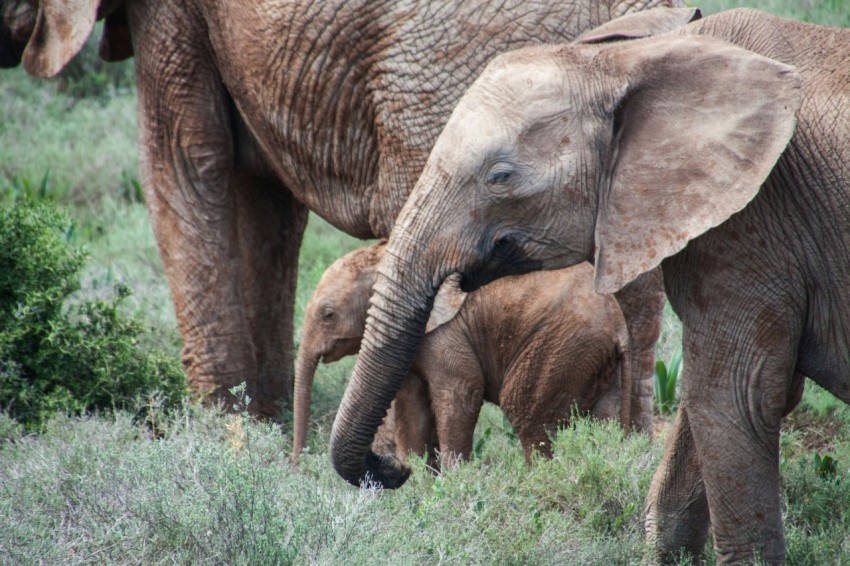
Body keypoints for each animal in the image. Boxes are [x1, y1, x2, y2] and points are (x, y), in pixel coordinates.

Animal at [292, 242, 630, 466]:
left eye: (328, 315)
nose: (297, 463)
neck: (387, 258)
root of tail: (619, 329)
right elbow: (411, 405)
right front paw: (416, 481)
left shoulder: (445, 333)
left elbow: (460, 393)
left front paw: (454, 483)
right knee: (605, 422)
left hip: (560, 346)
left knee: (529, 418)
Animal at [328, 6, 850, 565]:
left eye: (501, 176)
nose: (392, 468)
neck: (632, 59)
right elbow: (713, 404)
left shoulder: (754, 220)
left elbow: (735, 395)